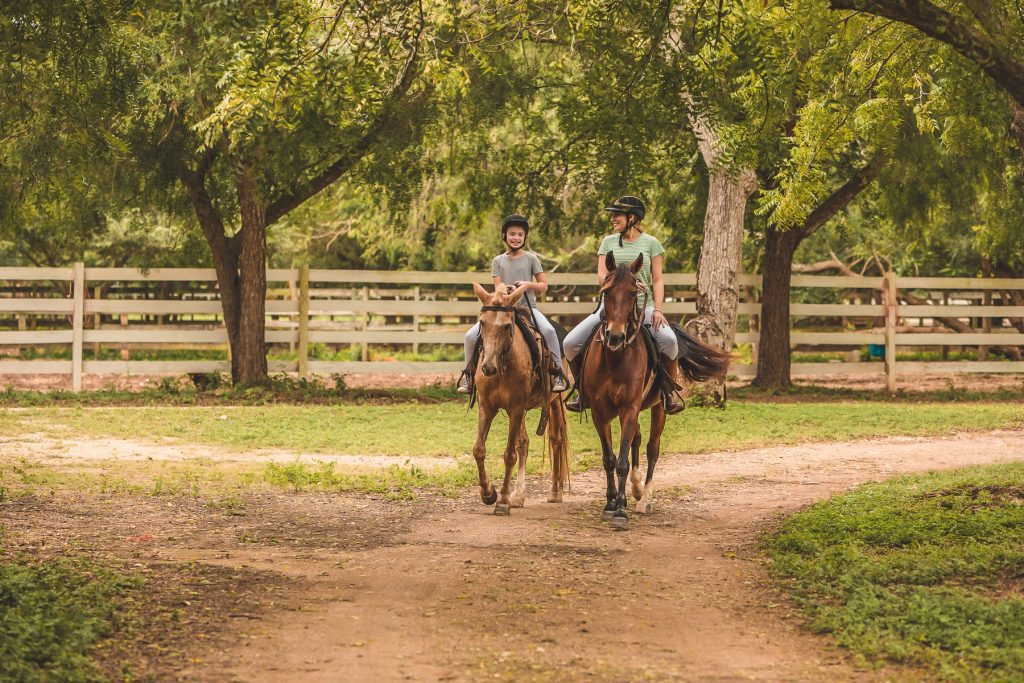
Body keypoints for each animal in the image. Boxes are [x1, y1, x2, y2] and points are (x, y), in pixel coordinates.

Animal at [468, 282, 569, 511]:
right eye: (482, 322)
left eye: (507, 326)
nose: (487, 367)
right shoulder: (487, 407)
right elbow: (479, 450)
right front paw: (489, 493)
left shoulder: (515, 408)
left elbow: (509, 455)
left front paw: (503, 500)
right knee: (523, 443)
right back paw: (519, 495)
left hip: (555, 401)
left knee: (556, 439)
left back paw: (554, 491)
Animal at [581, 253, 733, 532]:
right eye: (606, 292)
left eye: (633, 293)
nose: (615, 336)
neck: (614, 359)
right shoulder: (599, 412)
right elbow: (609, 458)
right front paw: (610, 504)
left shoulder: (629, 409)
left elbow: (622, 461)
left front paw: (621, 511)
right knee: (638, 440)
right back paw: (637, 489)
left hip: (659, 407)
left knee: (652, 448)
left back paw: (645, 499)